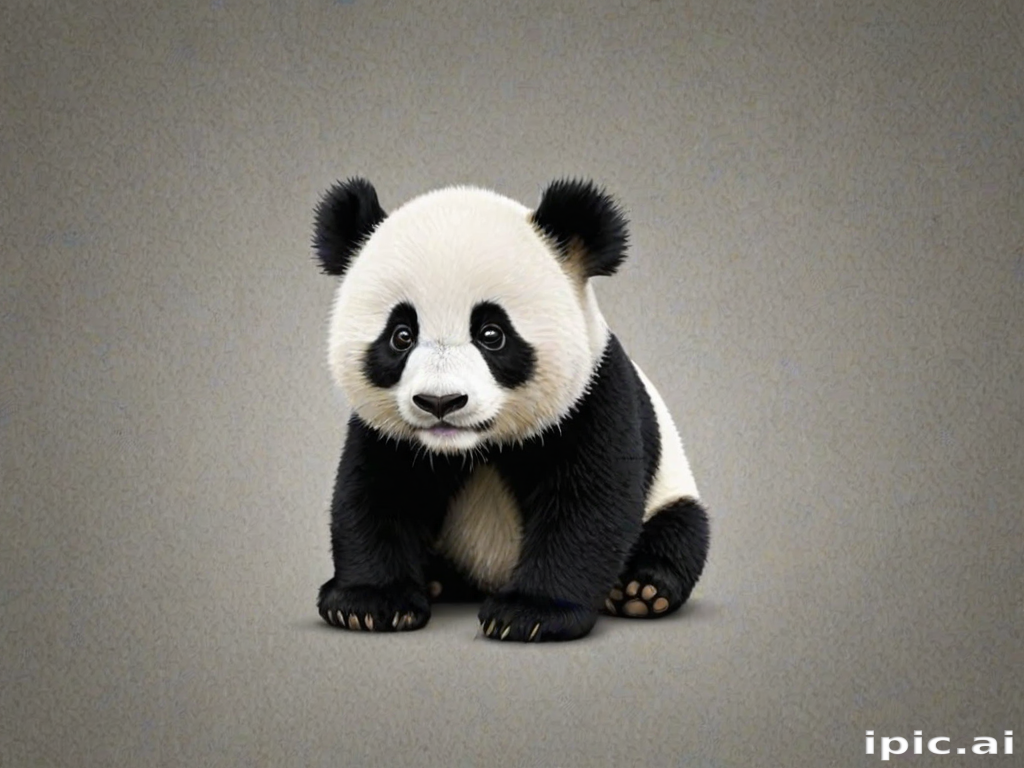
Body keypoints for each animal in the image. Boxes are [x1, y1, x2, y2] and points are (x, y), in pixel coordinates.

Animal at [312, 177, 710, 642]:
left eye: (492, 334)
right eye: (401, 335)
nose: (440, 402)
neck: (473, 447)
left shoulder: (592, 399)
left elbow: (588, 505)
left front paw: (530, 613)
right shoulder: (387, 432)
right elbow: (374, 494)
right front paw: (369, 603)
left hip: (671, 489)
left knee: (682, 529)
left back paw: (641, 592)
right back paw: (435, 580)